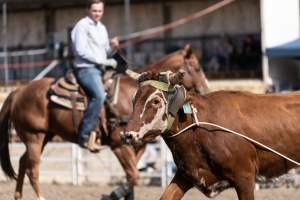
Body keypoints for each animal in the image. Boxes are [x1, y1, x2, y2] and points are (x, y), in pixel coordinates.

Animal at [0, 44, 209, 199]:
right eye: (197, 68)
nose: (206, 91)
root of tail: (19, 91)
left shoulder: (137, 145)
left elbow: (132, 176)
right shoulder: (119, 144)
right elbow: (133, 176)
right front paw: (113, 194)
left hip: (44, 136)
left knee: (22, 162)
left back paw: (18, 196)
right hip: (34, 136)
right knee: (32, 169)